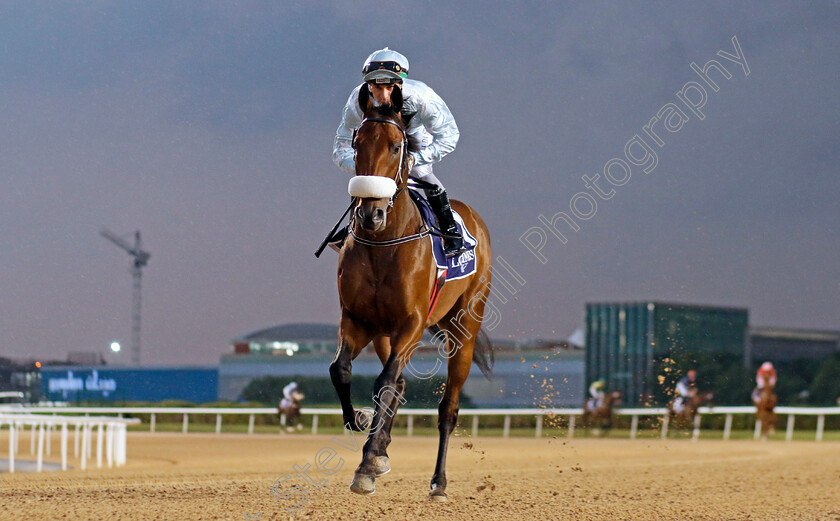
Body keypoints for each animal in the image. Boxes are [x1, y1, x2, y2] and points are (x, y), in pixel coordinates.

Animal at [330, 84, 492, 500]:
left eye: (395, 146)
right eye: (357, 144)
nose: (369, 214)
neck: (383, 243)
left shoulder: (412, 324)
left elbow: (385, 382)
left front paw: (367, 463)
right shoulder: (357, 320)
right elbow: (342, 371)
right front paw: (362, 426)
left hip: (465, 328)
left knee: (447, 408)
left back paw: (438, 482)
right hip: (383, 335)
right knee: (399, 386)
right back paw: (382, 449)